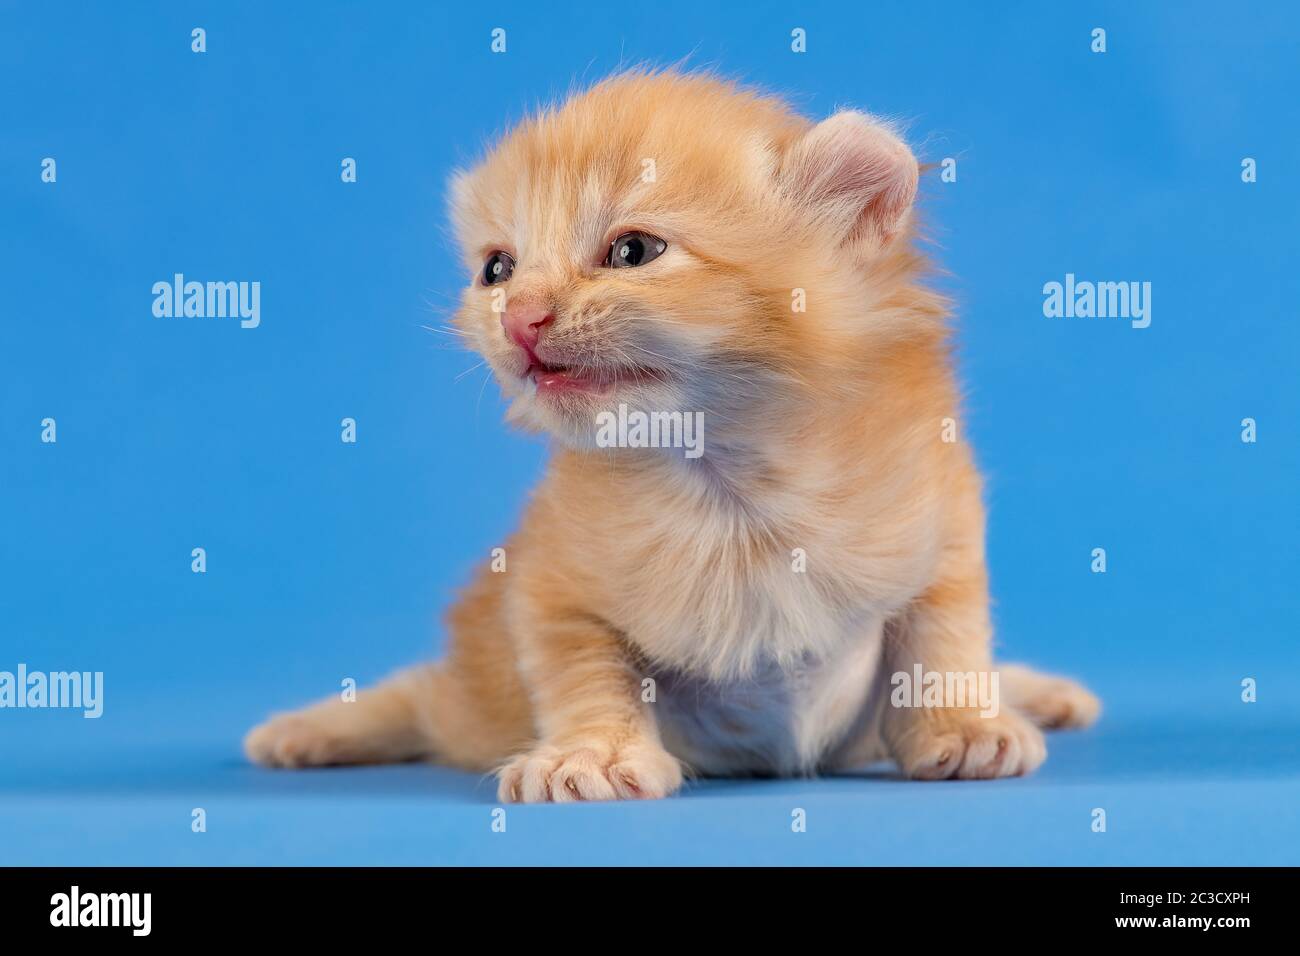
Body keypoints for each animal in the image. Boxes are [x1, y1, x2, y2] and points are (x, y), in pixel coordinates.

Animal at [244, 72, 1097, 801]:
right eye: (497, 269)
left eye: (633, 251)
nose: (519, 319)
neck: (732, 488)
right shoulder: (546, 580)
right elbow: (583, 667)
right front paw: (591, 754)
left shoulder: (944, 524)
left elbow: (946, 636)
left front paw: (965, 727)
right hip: (474, 692)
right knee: (422, 694)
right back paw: (306, 730)